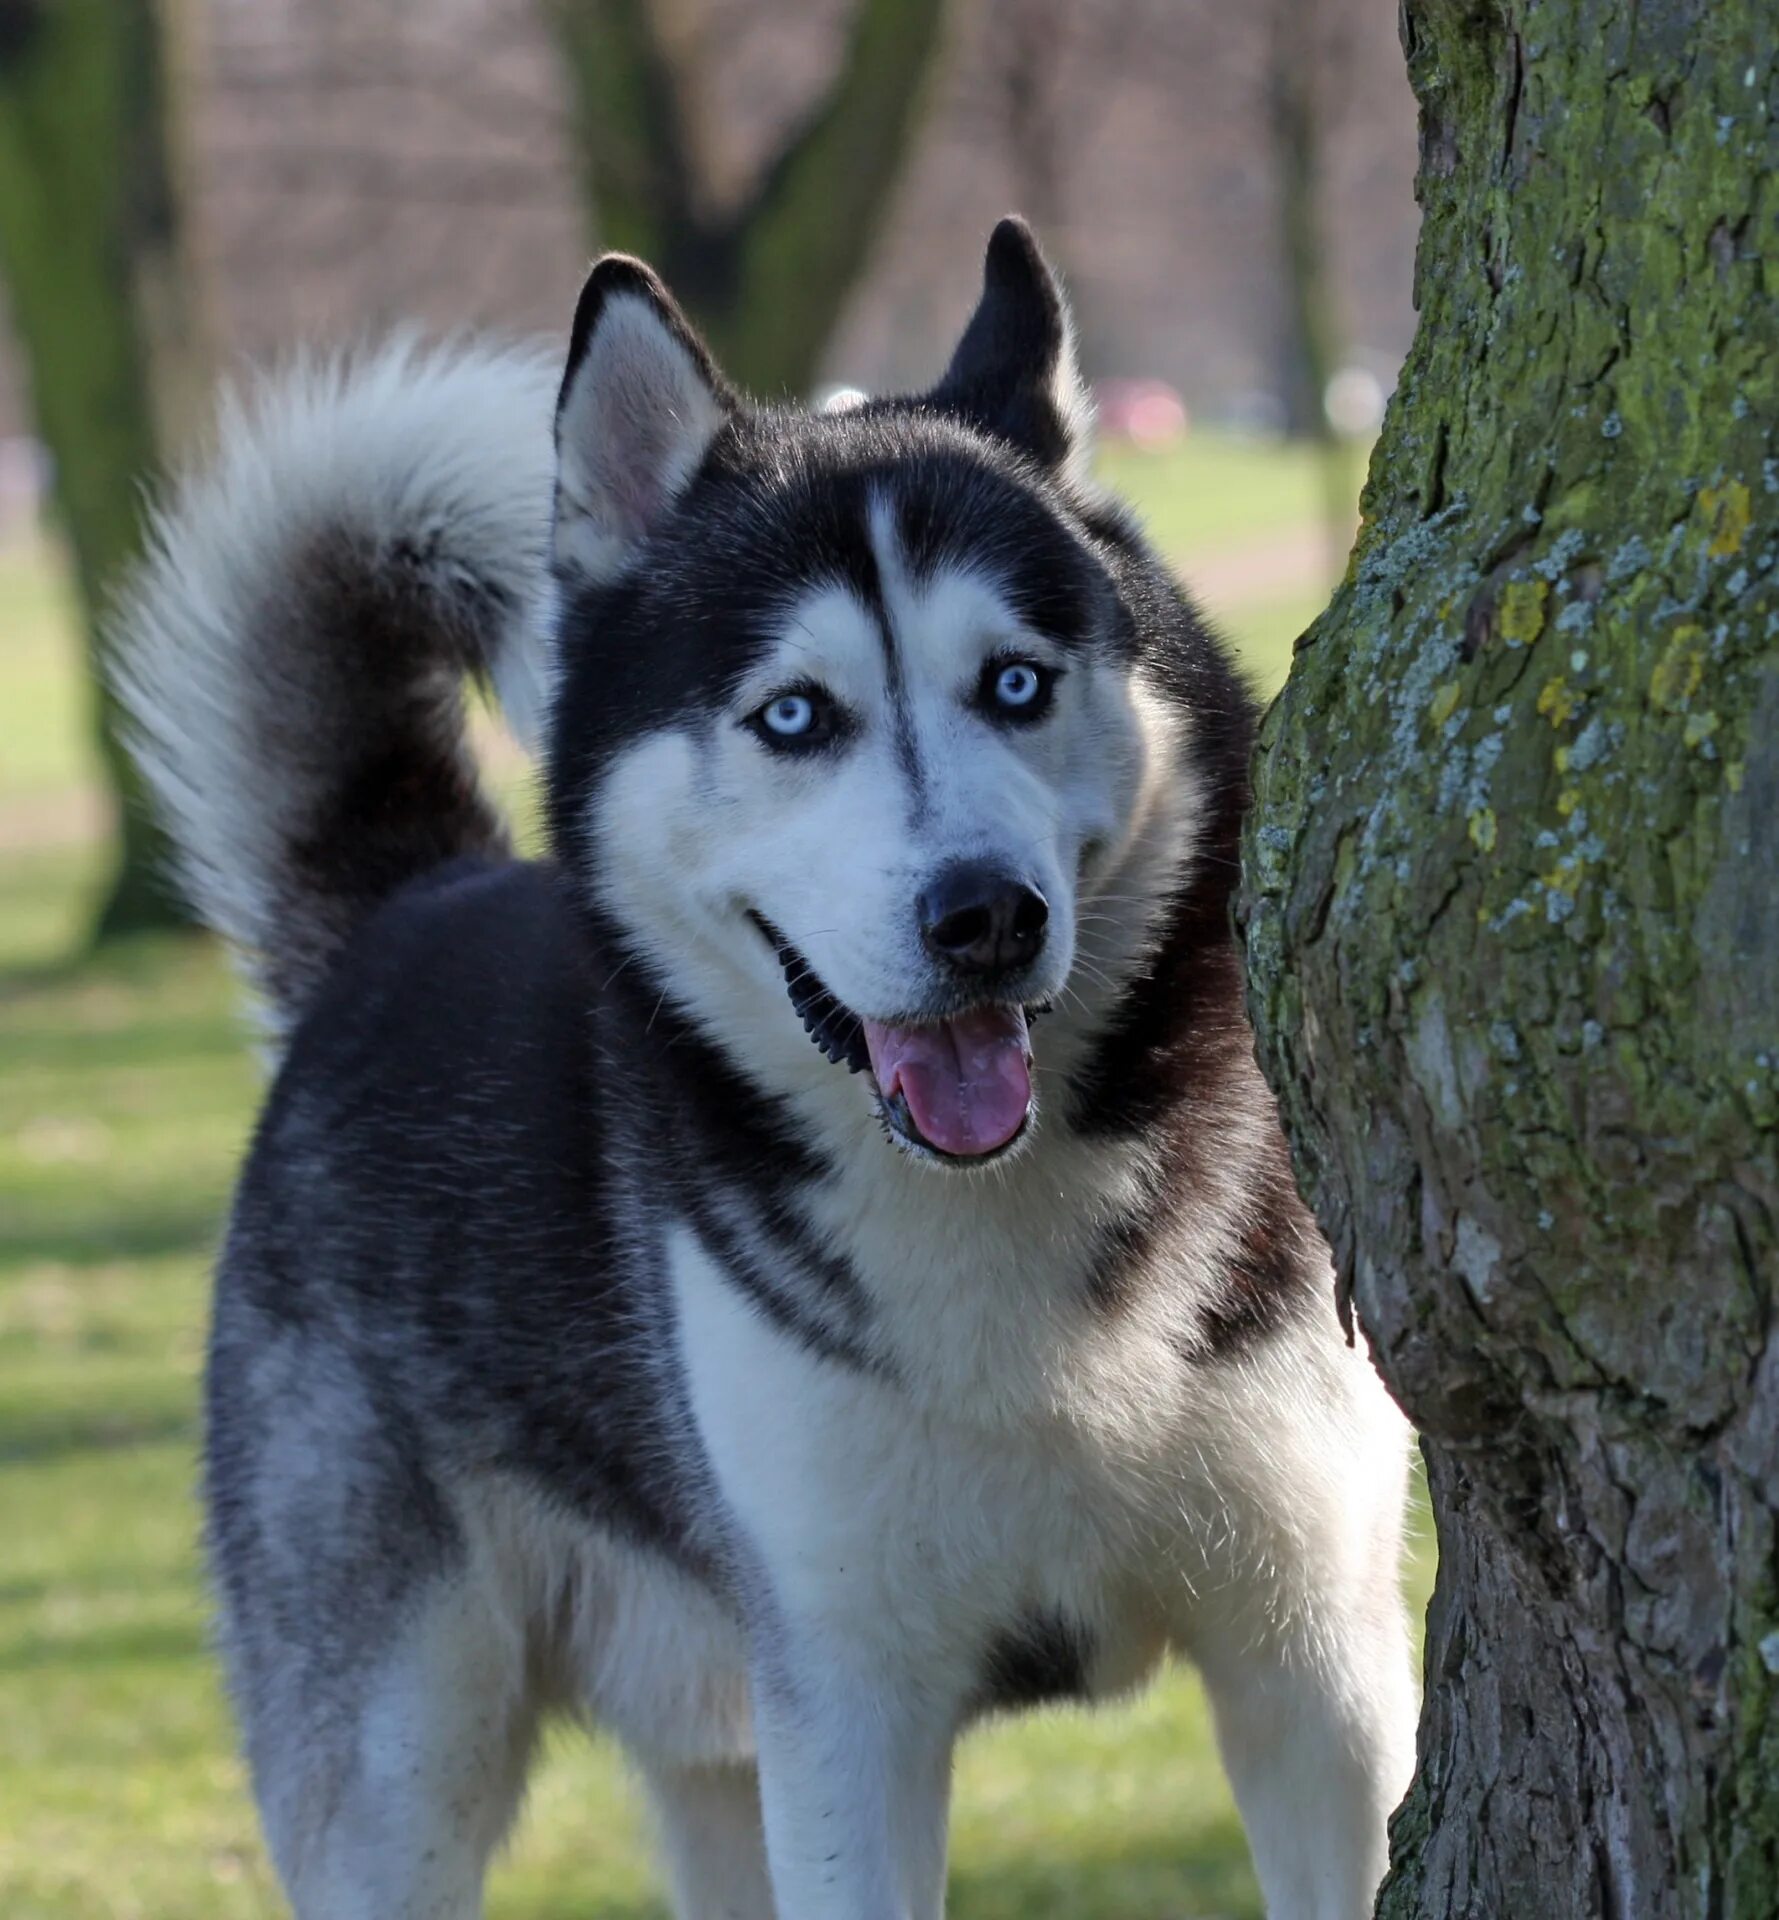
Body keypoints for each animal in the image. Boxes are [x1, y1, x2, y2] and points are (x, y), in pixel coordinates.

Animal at [118, 217, 1412, 1912]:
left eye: (1015, 681)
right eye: (795, 715)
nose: (984, 916)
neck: (995, 1239)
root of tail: (409, 908)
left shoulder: (1311, 1664)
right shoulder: (846, 1711)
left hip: (705, 1721)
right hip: (401, 1768)